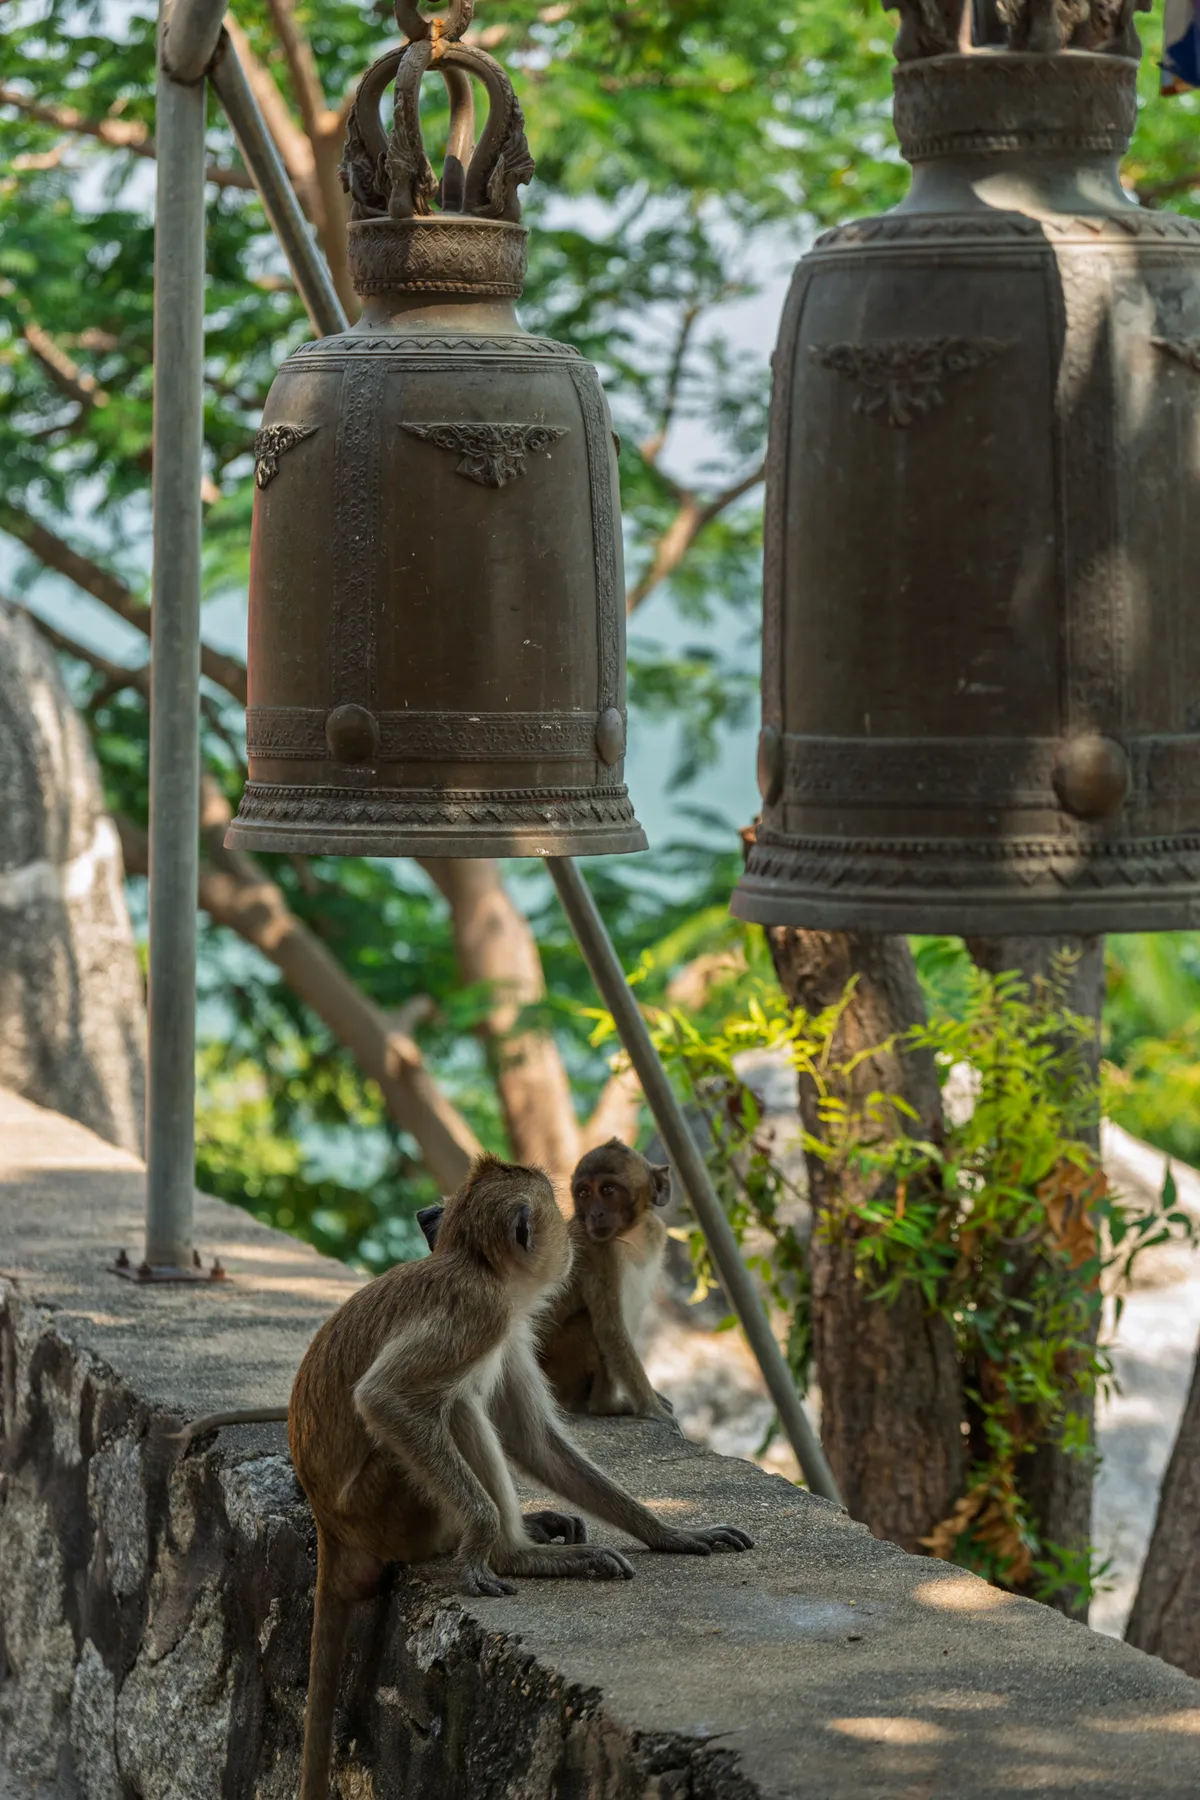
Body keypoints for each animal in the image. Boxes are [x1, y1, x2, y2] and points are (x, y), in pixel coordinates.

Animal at [182, 1155, 752, 1800]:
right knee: (452, 1408)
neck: (475, 1266)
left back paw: (528, 1532)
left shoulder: (510, 1328)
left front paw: (672, 1534)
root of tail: (330, 1523)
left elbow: (534, 1439)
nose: (575, 1236)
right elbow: (385, 1400)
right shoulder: (483, 1315)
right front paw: (486, 1544)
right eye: (561, 1202)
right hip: (387, 1501)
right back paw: (513, 1552)